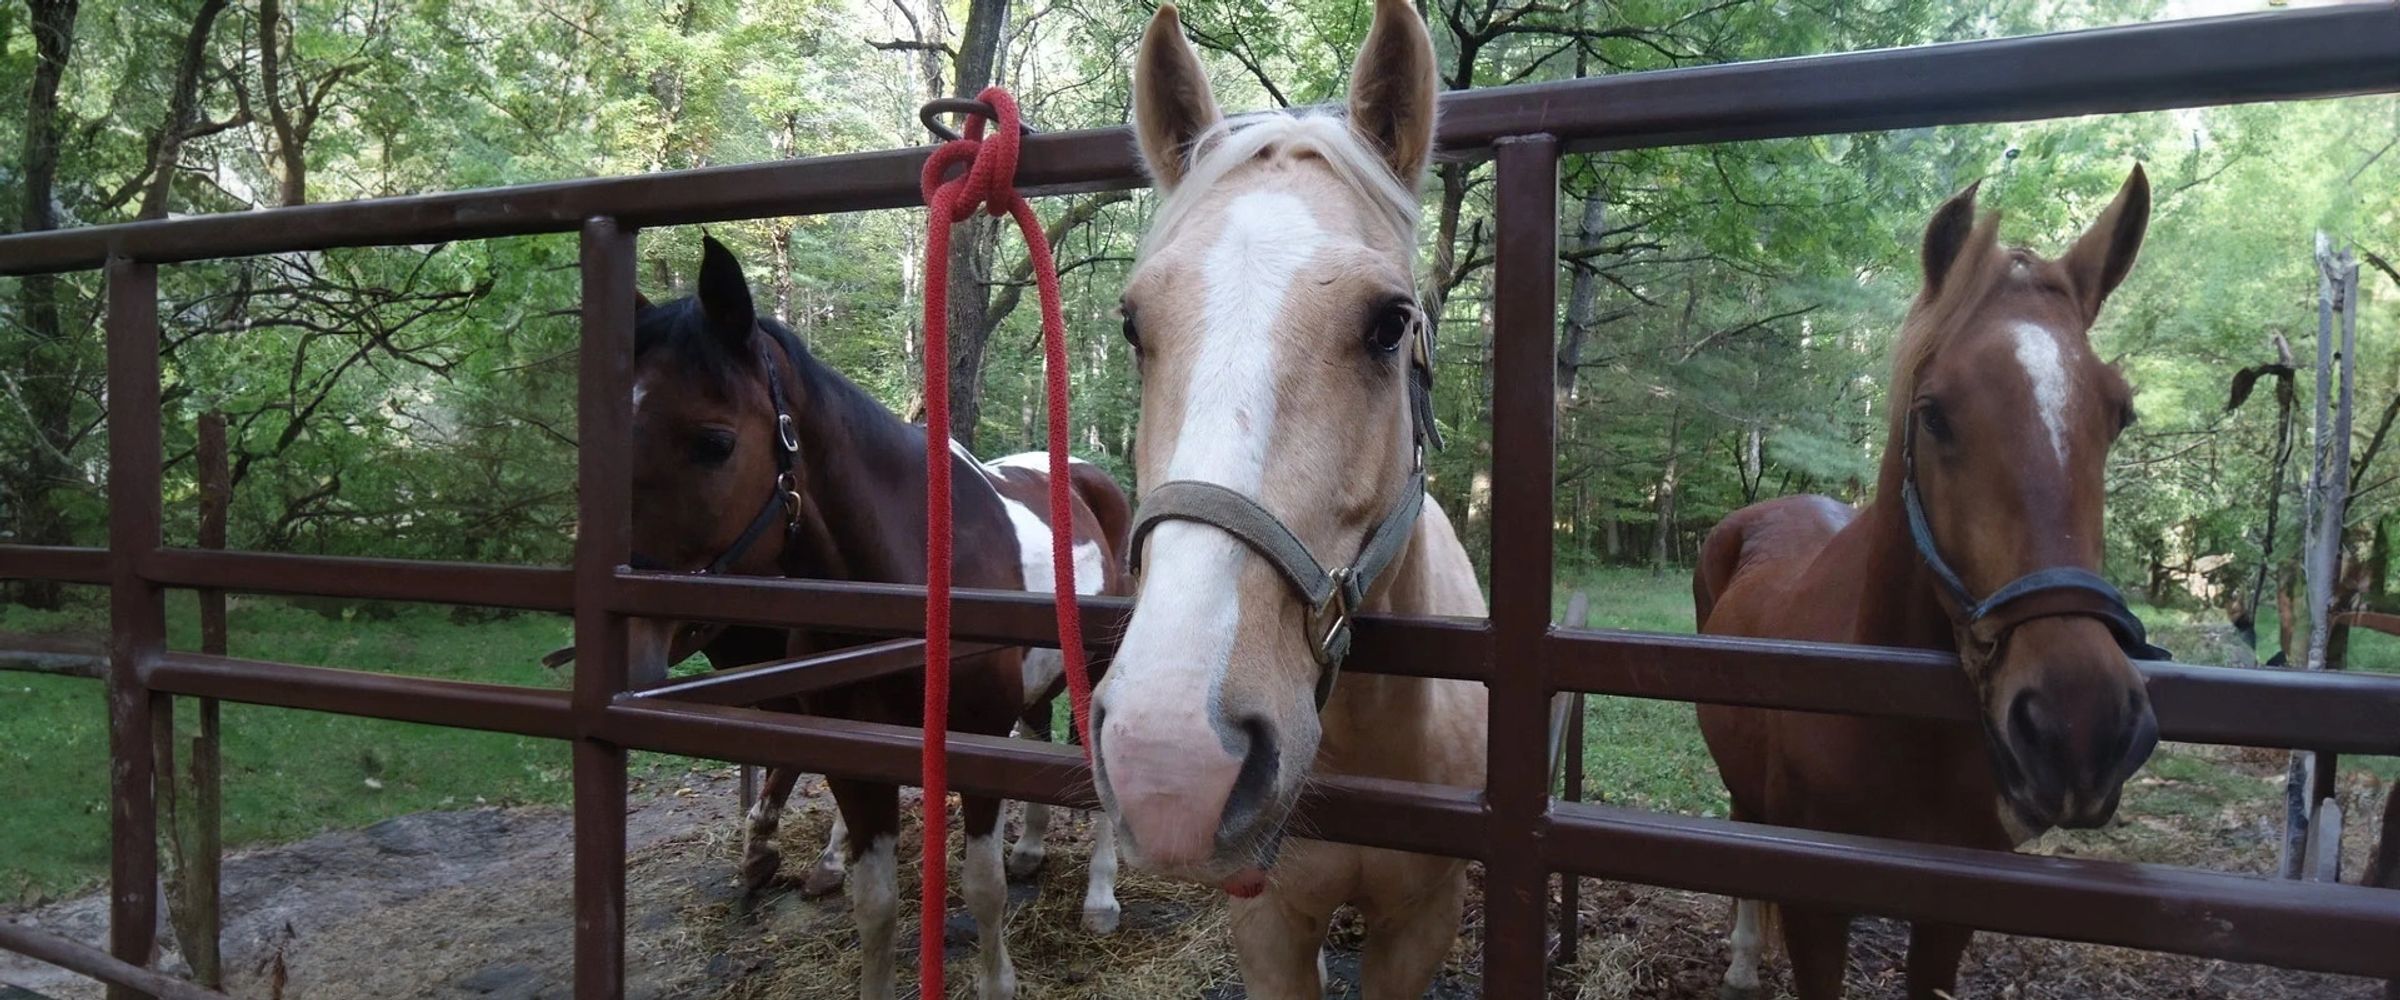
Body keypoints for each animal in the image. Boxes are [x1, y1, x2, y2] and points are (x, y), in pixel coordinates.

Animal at [628, 236, 1132, 997]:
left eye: (715, 442)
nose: (635, 627)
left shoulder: (972, 742)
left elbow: (980, 887)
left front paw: (998, 981)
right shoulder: (855, 758)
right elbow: (876, 902)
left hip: (1095, 666)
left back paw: (1101, 899)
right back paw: (1032, 847)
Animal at [1699, 167, 2169, 997]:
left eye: (2121, 414)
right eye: (1934, 413)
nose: (2082, 726)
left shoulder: (1952, 907)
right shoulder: (1814, 907)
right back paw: (1746, 959)